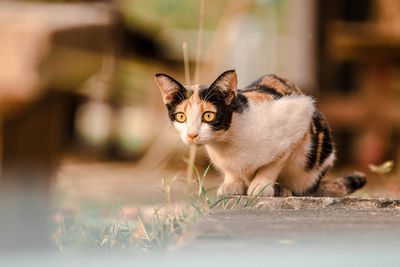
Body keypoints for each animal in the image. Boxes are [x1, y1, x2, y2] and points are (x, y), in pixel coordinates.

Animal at [154, 70, 366, 198]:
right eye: (181, 117)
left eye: (208, 115)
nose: (192, 135)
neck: (227, 142)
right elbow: (231, 171)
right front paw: (232, 184)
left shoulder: (299, 116)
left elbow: (273, 164)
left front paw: (260, 186)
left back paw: (284, 189)